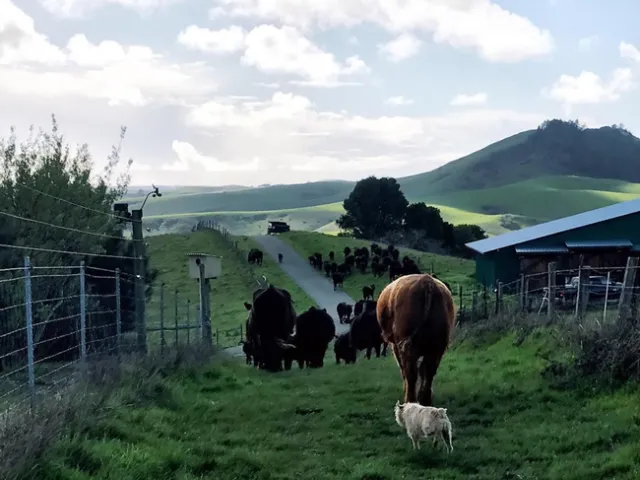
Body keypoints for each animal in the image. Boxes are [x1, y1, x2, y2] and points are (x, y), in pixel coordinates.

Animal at [376, 274, 456, 406]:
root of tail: (426, 281)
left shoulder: (397, 345)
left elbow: (404, 369)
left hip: (409, 347)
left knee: (411, 372)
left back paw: (410, 400)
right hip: (436, 347)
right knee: (428, 371)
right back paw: (425, 400)